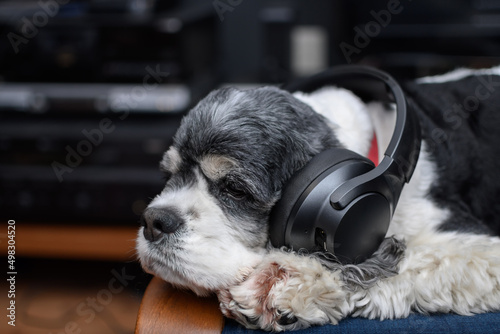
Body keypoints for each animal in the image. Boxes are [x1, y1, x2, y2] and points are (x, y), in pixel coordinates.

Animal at [136, 66, 500, 330]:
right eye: (169, 175)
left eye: (236, 189)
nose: (154, 221)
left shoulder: (480, 247)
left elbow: (412, 257)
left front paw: (284, 281)